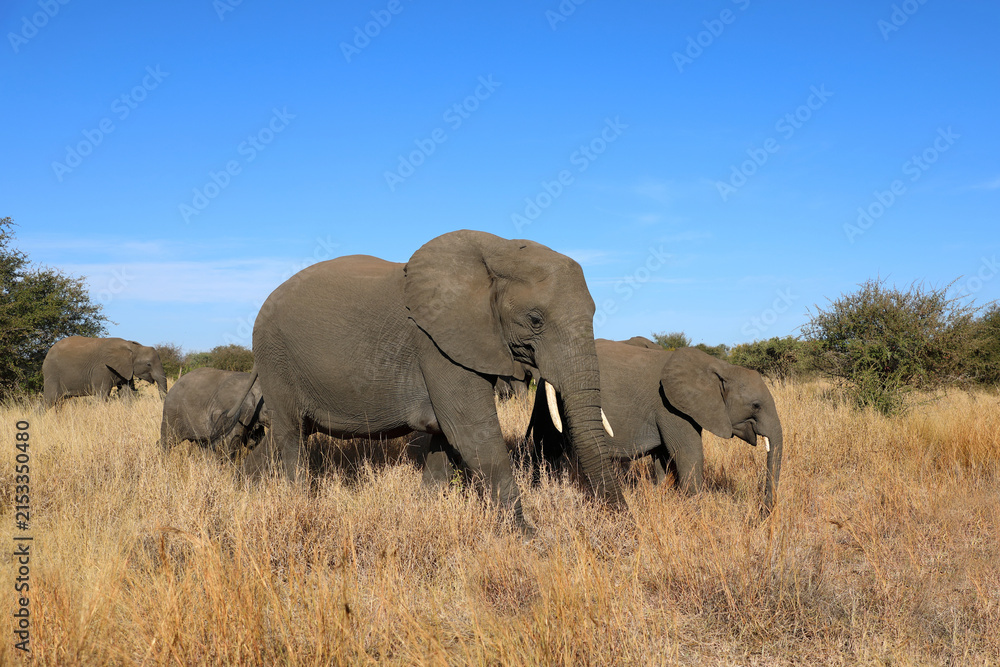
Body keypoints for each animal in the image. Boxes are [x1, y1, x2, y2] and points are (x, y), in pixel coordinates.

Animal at [225, 230, 621, 531]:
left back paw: (242, 489)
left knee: (281, 438)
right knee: (291, 437)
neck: (498, 250)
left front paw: (426, 511)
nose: (620, 517)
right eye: (535, 320)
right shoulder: (436, 343)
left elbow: (446, 438)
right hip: (276, 356)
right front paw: (529, 538)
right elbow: (472, 433)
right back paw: (296, 503)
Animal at [529, 340, 784, 512]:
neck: (720, 367)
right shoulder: (669, 406)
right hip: (547, 398)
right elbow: (688, 454)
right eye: (756, 405)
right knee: (547, 446)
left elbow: (664, 458)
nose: (764, 514)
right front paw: (694, 510)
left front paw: (660, 493)